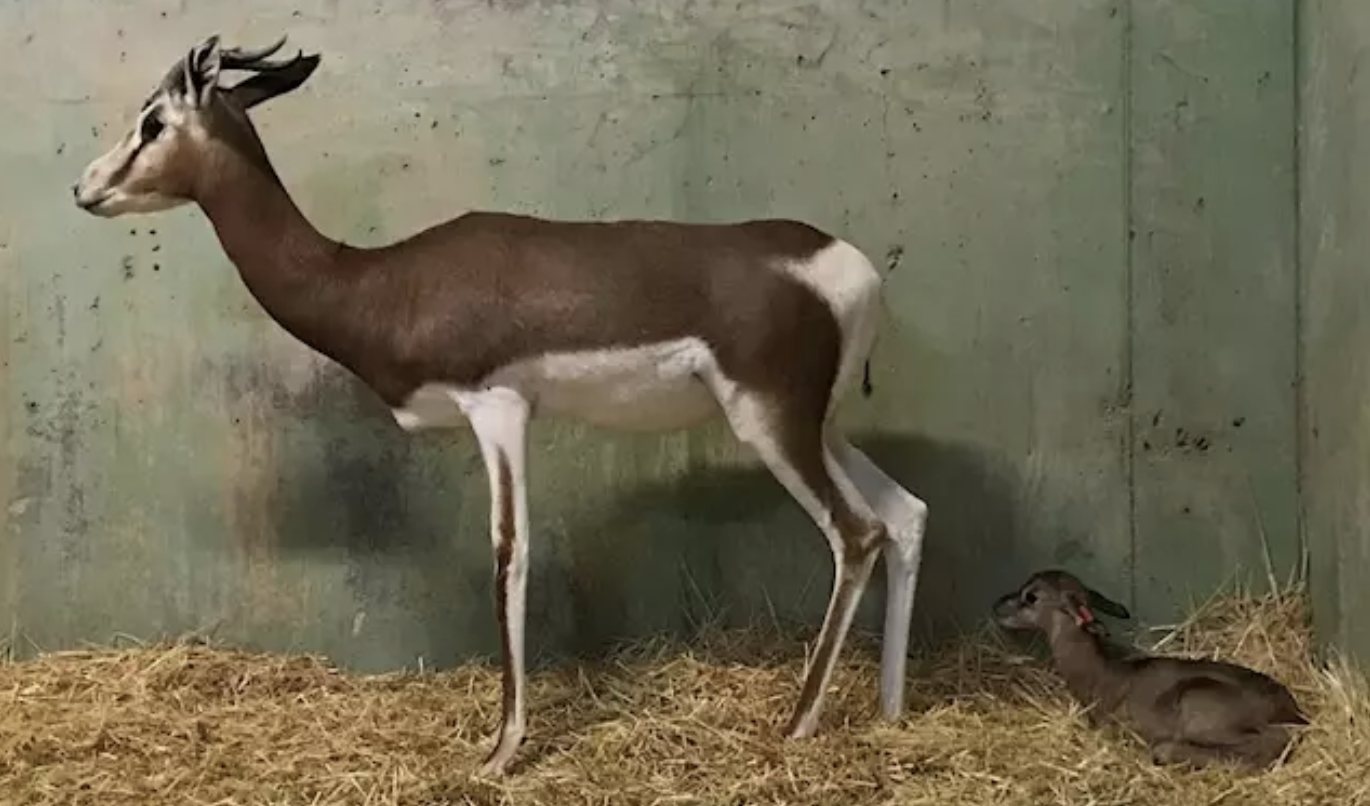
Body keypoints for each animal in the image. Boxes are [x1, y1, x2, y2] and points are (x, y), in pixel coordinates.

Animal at [72, 36, 931, 773]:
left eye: (154, 120)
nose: (85, 187)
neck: (380, 284)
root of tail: (854, 269)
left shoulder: (498, 408)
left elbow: (509, 554)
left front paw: (500, 750)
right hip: (818, 427)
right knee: (905, 514)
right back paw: (890, 711)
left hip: (770, 423)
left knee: (856, 533)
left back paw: (798, 723)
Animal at [997, 567, 1304, 767]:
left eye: (1031, 597)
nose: (996, 605)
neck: (1098, 672)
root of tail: (1290, 711)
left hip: (1202, 709)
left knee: (1269, 744)